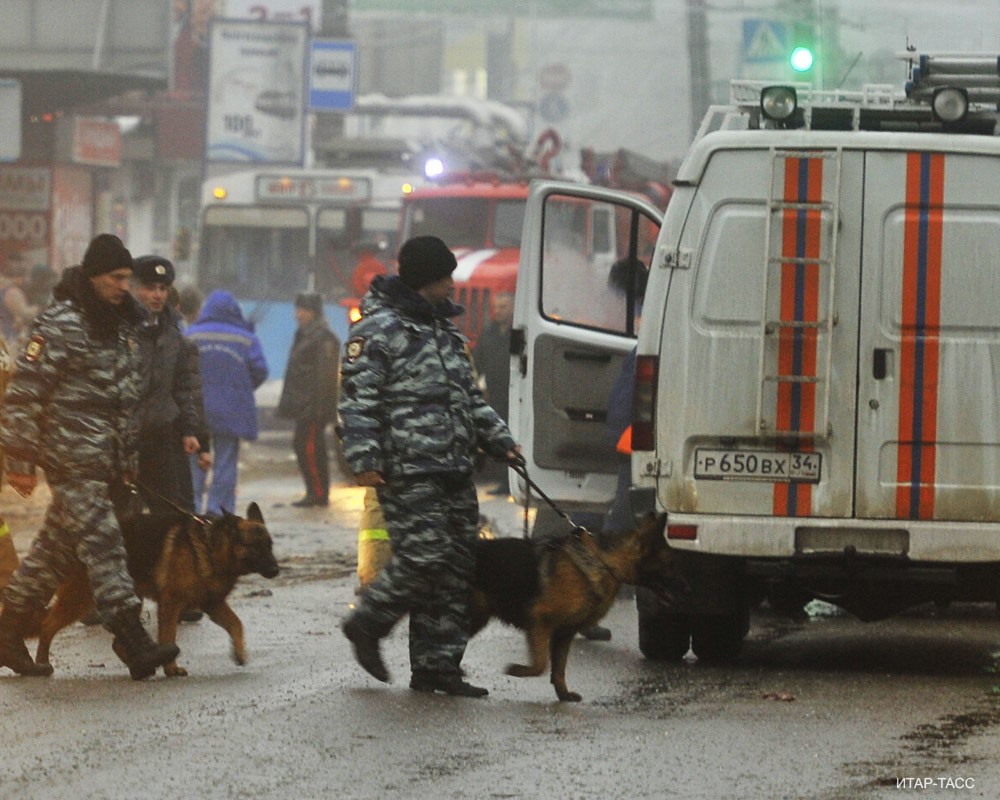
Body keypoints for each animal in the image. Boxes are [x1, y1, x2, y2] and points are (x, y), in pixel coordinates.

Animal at [35, 504, 278, 680]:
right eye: (255, 546)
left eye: (270, 545)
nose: (276, 570)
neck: (211, 546)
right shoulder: (171, 603)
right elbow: (168, 636)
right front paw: (171, 668)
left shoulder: (213, 604)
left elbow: (237, 623)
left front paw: (239, 652)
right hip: (79, 599)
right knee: (46, 625)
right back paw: (41, 662)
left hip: (127, 596)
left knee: (118, 640)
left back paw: (139, 667)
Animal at [466, 512, 684, 700]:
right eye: (671, 564)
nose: (688, 588)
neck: (604, 562)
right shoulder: (540, 621)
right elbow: (541, 664)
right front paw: (519, 670)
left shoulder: (565, 632)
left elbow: (559, 668)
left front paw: (563, 695)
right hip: (475, 617)